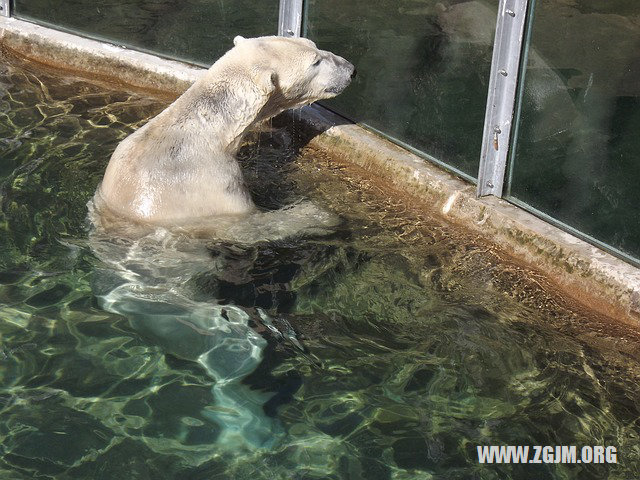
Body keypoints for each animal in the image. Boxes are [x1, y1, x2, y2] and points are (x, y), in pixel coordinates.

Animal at [92, 36, 356, 225]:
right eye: (315, 61)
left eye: (315, 46)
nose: (351, 69)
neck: (206, 129)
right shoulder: (214, 185)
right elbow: (251, 223)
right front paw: (318, 214)